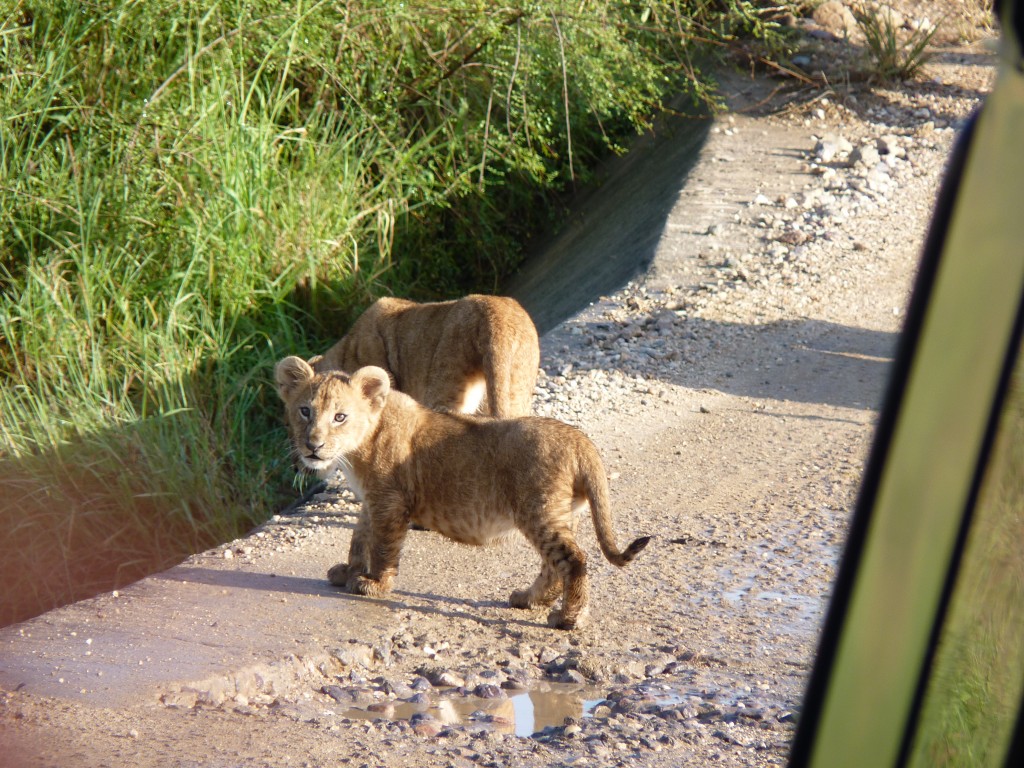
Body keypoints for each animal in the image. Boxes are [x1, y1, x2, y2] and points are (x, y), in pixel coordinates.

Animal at [274, 357, 650, 630]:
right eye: (305, 411)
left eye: (340, 417)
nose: (313, 445)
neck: (357, 448)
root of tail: (580, 441)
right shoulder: (372, 498)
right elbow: (359, 535)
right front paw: (349, 571)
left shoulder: (390, 500)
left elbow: (382, 545)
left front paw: (374, 584)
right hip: (557, 512)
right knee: (553, 564)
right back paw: (529, 599)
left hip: (538, 509)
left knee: (573, 560)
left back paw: (566, 619)